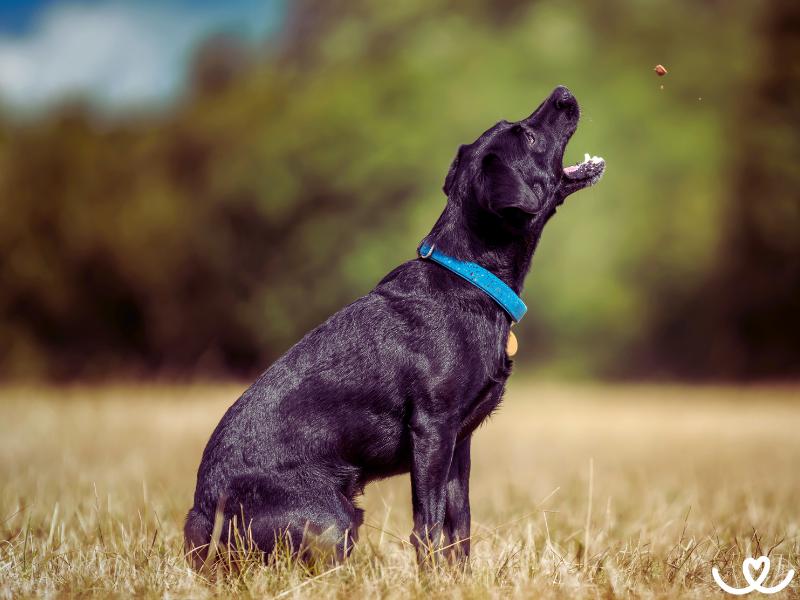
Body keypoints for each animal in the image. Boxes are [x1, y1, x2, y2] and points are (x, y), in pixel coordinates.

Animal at [184, 84, 604, 568]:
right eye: (528, 136)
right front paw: (430, 576)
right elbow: (428, 525)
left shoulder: (459, 442)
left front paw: (459, 576)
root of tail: (201, 518)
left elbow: (459, 524)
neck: (470, 276)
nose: (563, 93)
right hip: (333, 520)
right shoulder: (433, 430)